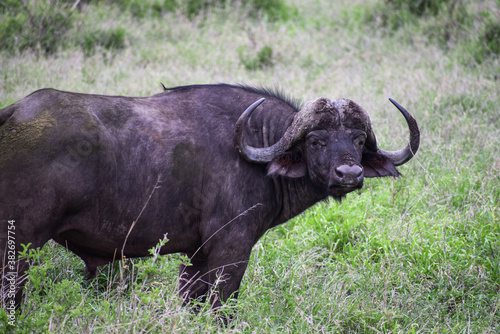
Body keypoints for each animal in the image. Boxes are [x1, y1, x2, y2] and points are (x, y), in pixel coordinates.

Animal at [0, 84, 418, 310]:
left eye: (359, 140)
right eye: (316, 141)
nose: (350, 174)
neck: (256, 147)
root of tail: (13, 114)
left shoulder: (197, 256)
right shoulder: (231, 250)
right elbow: (221, 307)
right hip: (21, 247)